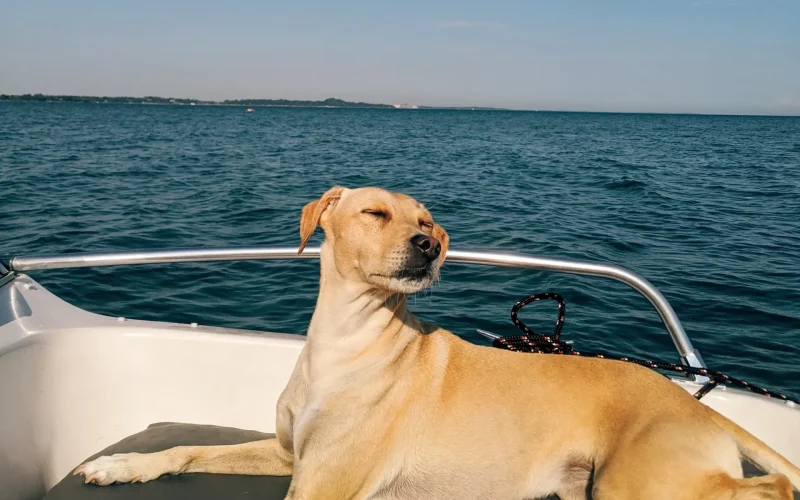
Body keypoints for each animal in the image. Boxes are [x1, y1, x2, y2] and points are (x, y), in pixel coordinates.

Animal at [76, 186, 800, 498]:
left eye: (428, 219)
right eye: (376, 212)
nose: (428, 244)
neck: (348, 342)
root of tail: (694, 406)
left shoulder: (322, 483)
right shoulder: (292, 456)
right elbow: (189, 448)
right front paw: (122, 464)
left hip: (641, 486)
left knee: (765, 490)